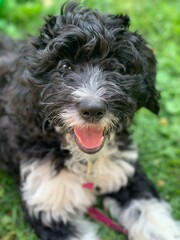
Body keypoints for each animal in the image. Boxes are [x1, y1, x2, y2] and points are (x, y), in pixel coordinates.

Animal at [0, 1, 180, 240]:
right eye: (64, 66)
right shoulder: (46, 202)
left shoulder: (127, 172)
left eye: (117, 67)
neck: (84, 160)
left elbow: (152, 215)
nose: (92, 109)